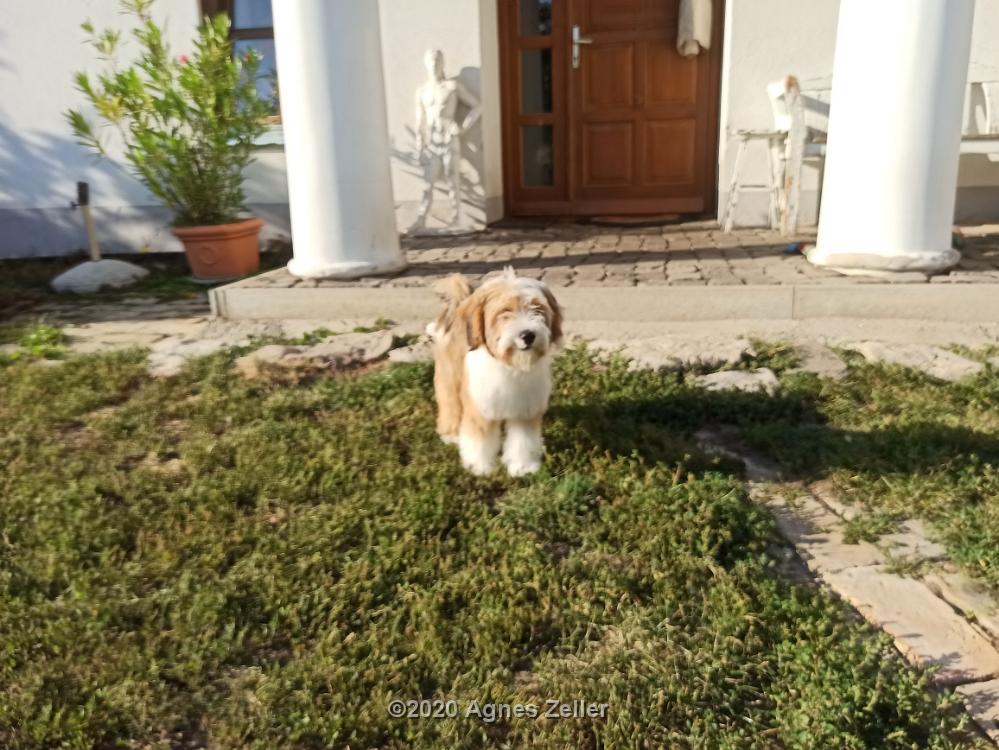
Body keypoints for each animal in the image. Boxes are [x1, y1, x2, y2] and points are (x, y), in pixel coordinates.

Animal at [426, 268, 564, 476]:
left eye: (537, 309)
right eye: (504, 312)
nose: (528, 335)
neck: (510, 366)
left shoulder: (524, 410)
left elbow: (523, 441)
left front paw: (523, 467)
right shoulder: (480, 406)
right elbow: (479, 439)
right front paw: (479, 468)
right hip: (449, 374)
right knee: (450, 402)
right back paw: (450, 433)